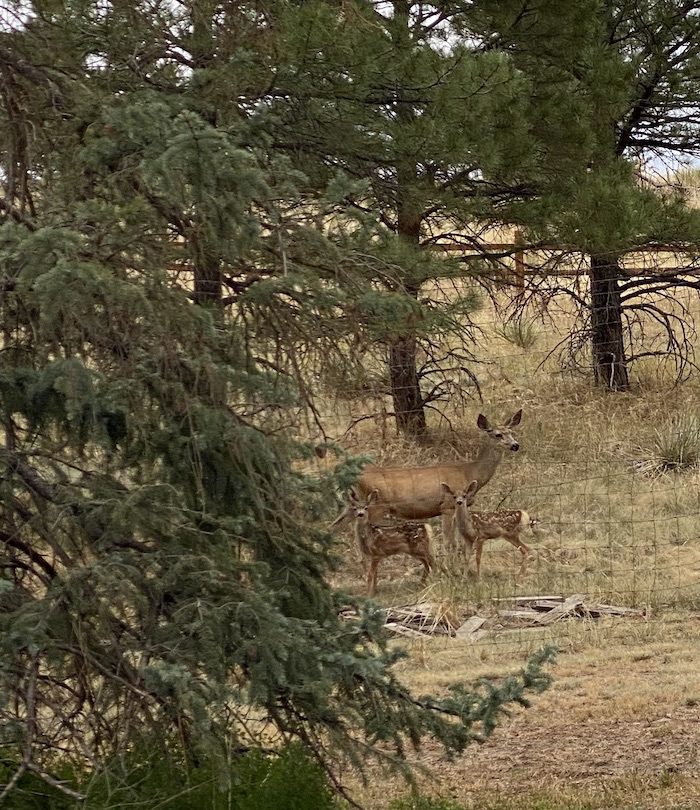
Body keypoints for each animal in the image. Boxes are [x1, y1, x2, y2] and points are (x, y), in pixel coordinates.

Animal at [352, 410, 524, 516]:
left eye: (512, 432)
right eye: (498, 434)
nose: (515, 445)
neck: (470, 472)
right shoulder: (447, 505)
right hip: (376, 507)